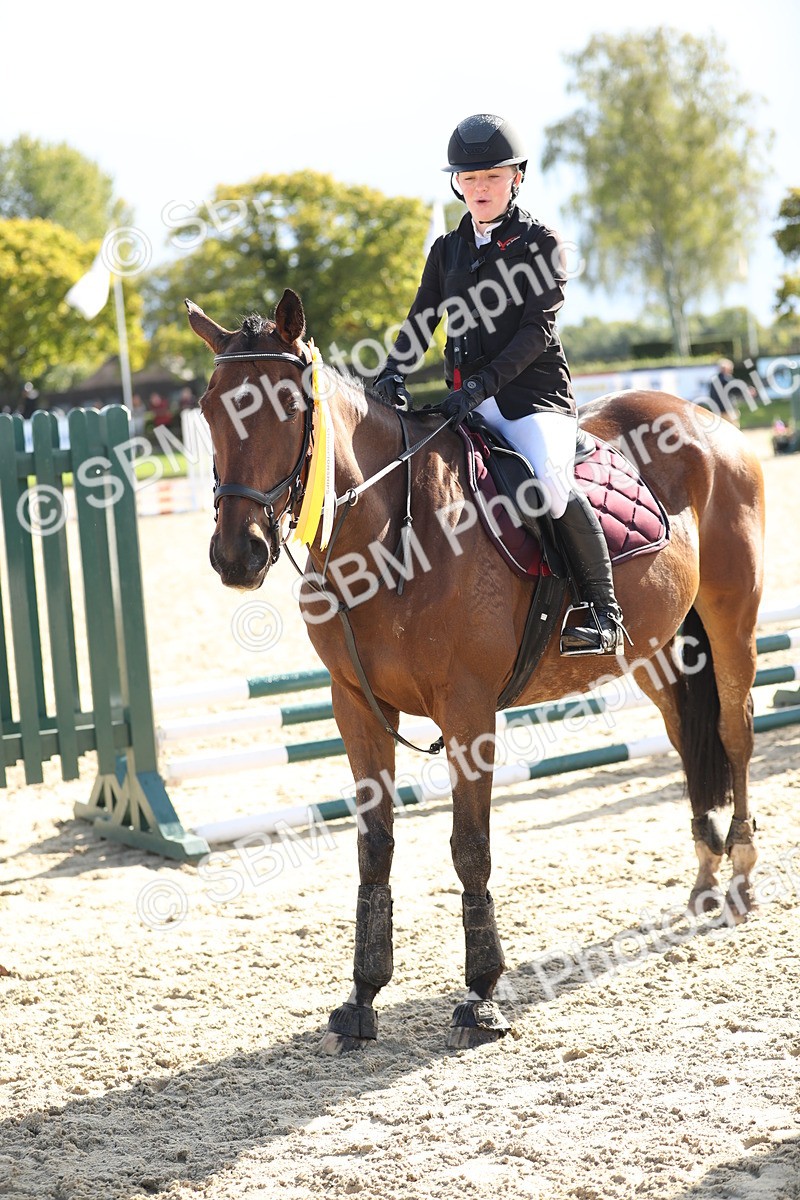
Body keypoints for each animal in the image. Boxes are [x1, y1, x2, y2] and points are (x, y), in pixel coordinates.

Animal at [186, 288, 765, 1054]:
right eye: (207, 407)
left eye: (287, 405)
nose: (237, 555)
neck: (393, 530)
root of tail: (705, 417)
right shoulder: (355, 707)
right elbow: (375, 847)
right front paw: (363, 996)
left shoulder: (468, 711)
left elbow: (470, 848)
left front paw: (482, 995)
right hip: (655, 651)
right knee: (687, 741)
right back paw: (704, 875)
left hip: (731, 622)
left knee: (734, 734)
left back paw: (742, 876)